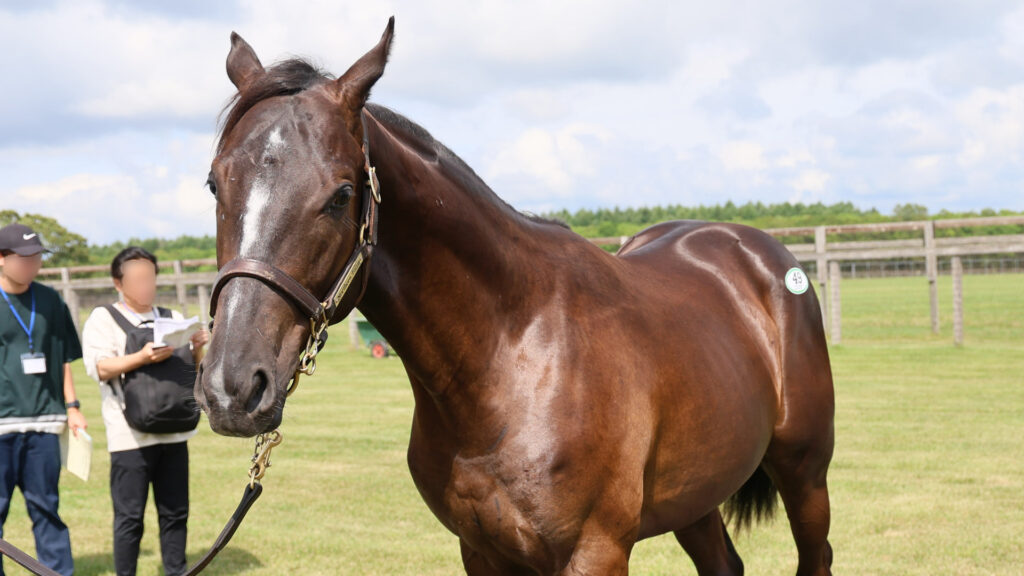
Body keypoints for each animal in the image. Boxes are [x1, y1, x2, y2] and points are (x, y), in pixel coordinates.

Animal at [196, 18, 835, 576]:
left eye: (341, 194)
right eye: (214, 183)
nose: (233, 387)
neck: (511, 358)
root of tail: (755, 250)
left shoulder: (595, 553)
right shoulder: (482, 550)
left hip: (805, 473)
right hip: (696, 495)